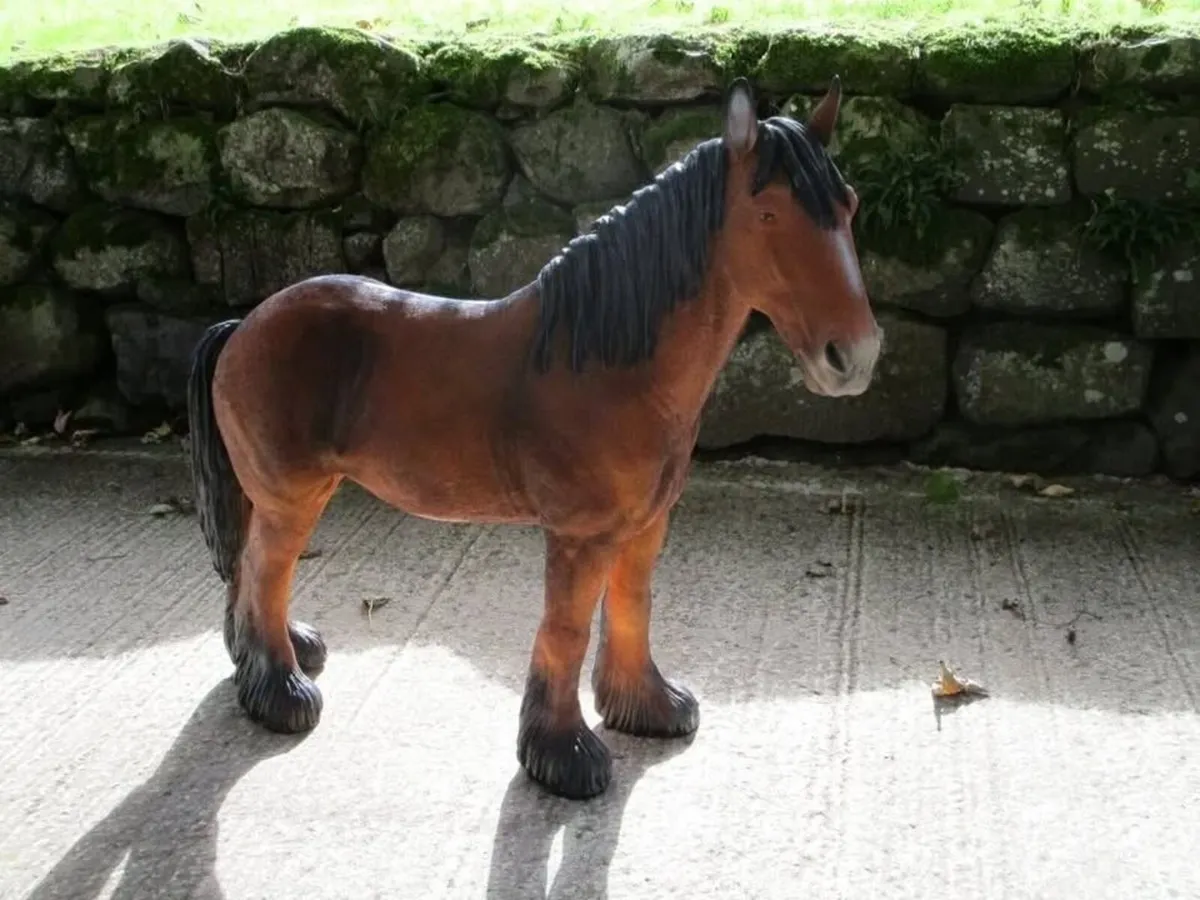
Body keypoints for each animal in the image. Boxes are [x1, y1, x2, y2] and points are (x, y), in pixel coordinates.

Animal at [185, 75, 882, 801]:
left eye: (849, 206)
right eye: (767, 215)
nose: (853, 356)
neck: (608, 361)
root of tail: (242, 327)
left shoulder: (645, 524)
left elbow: (632, 605)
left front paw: (646, 707)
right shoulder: (580, 535)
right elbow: (567, 630)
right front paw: (563, 754)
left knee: (250, 570)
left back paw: (275, 656)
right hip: (293, 496)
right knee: (265, 571)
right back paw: (280, 691)